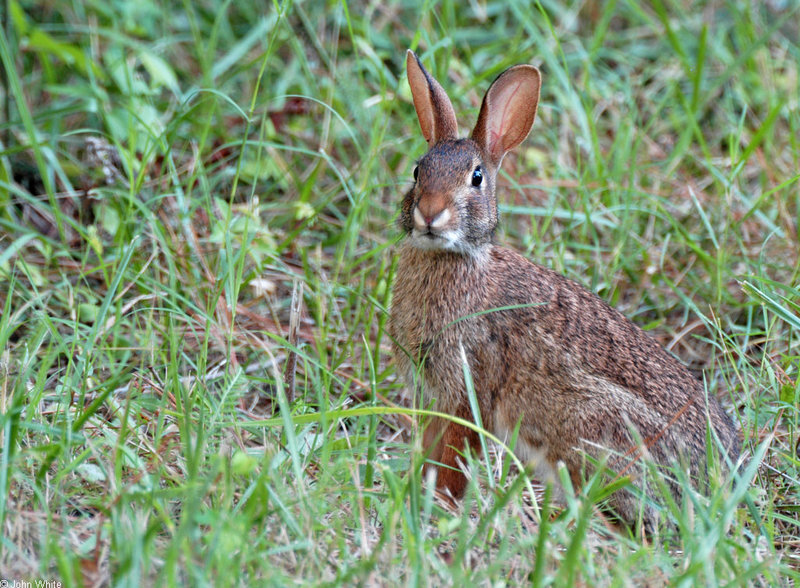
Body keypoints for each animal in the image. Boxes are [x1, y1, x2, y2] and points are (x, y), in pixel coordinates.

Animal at [390, 51, 740, 528]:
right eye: (417, 170)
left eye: (476, 177)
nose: (429, 213)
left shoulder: (471, 389)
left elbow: (454, 459)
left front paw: (441, 508)